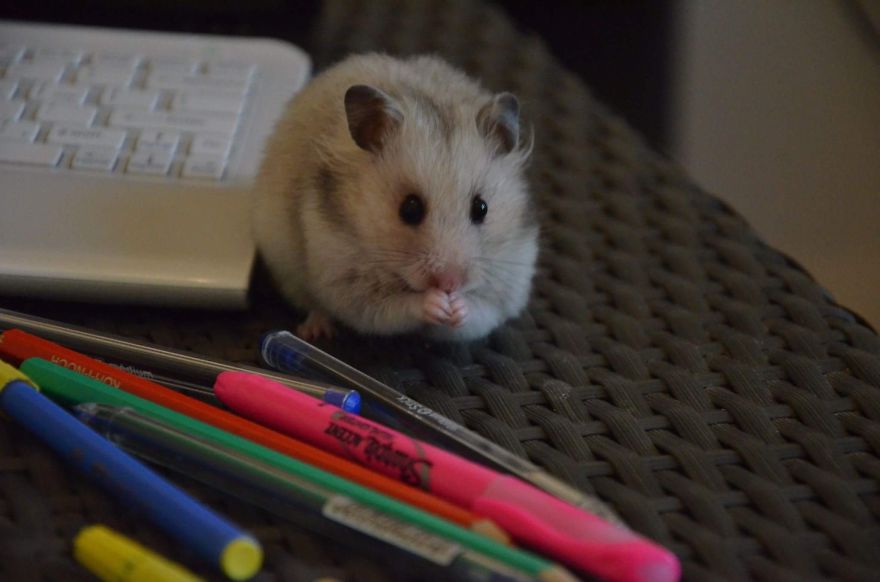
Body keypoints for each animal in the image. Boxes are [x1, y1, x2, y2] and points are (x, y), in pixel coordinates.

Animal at [252, 53, 538, 342]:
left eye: (481, 208)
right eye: (409, 209)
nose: (449, 283)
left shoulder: (511, 279)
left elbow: (480, 311)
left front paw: (456, 306)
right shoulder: (345, 278)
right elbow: (392, 307)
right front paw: (435, 302)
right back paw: (316, 331)